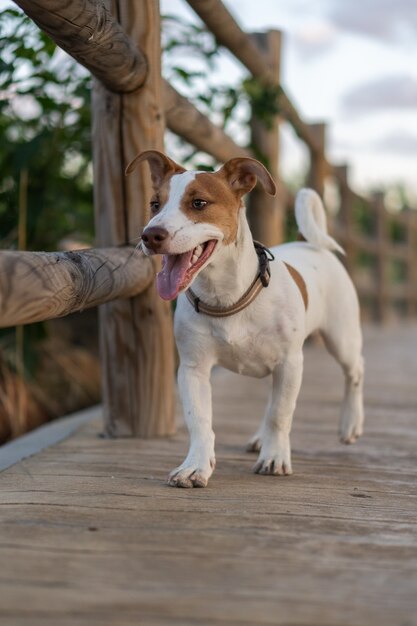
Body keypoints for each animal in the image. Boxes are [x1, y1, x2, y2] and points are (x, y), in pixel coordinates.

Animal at [127, 151, 364, 488]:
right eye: (154, 204)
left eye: (198, 203)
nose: (151, 235)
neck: (226, 297)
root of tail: (310, 243)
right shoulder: (193, 369)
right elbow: (199, 420)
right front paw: (196, 465)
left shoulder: (290, 363)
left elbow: (280, 414)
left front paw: (275, 457)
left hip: (341, 338)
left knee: (355, 371)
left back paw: (350, 424)